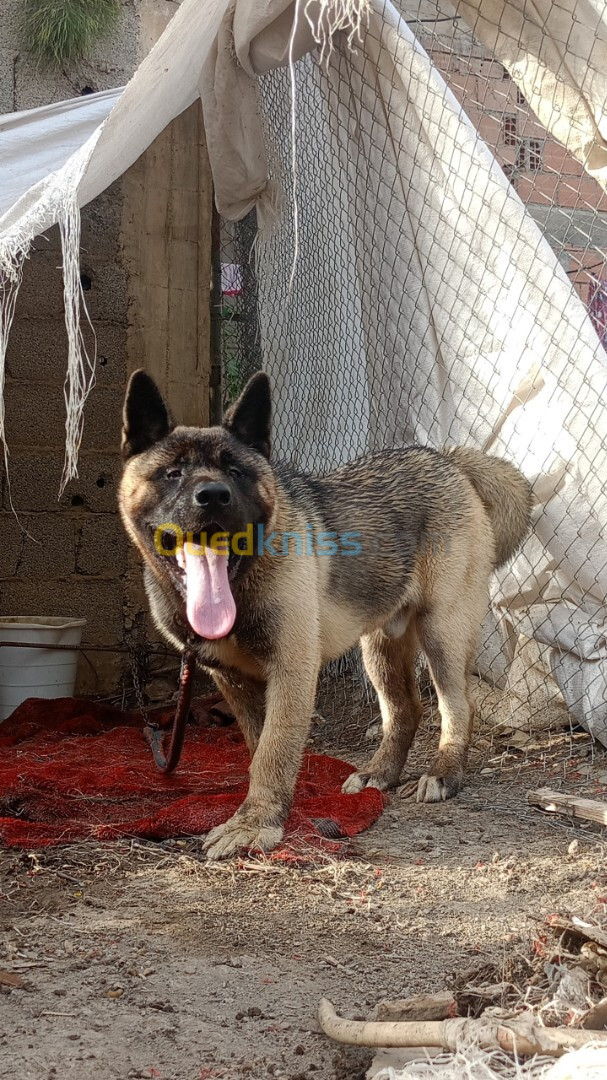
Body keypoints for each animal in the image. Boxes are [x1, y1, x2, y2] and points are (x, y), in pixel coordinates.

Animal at [118, 371, 529, 859]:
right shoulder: (233, 680)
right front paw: (268, 811)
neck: (241, 584)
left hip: (441, 633)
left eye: (237, 473)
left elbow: (274, 751)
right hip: (380, 648)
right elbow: (259, 747)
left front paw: (255, 824)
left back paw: (444, 774)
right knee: (405, 709)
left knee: (457, 706)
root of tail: (446, 460)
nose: (214, 496)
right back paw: (380, 773)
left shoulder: (291, 672)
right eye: (172, 473)